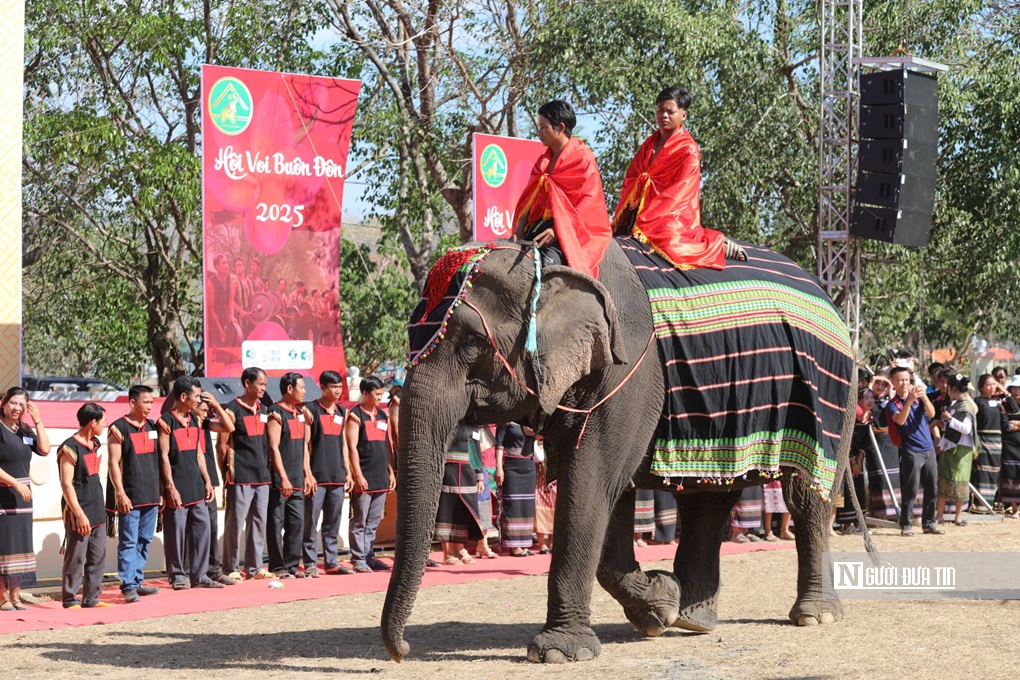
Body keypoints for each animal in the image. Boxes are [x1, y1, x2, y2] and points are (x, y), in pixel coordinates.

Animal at [379, 235, 856, 664]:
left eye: (472, 342)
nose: (403, 652)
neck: (547, 258)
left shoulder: (632, 370)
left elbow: (591, 482)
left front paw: (560, 653)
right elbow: (608, 492)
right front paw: (660, 605)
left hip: (834, 394)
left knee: (805, 495)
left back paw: (814, 616)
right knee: (709, 496)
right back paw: (692, 618)